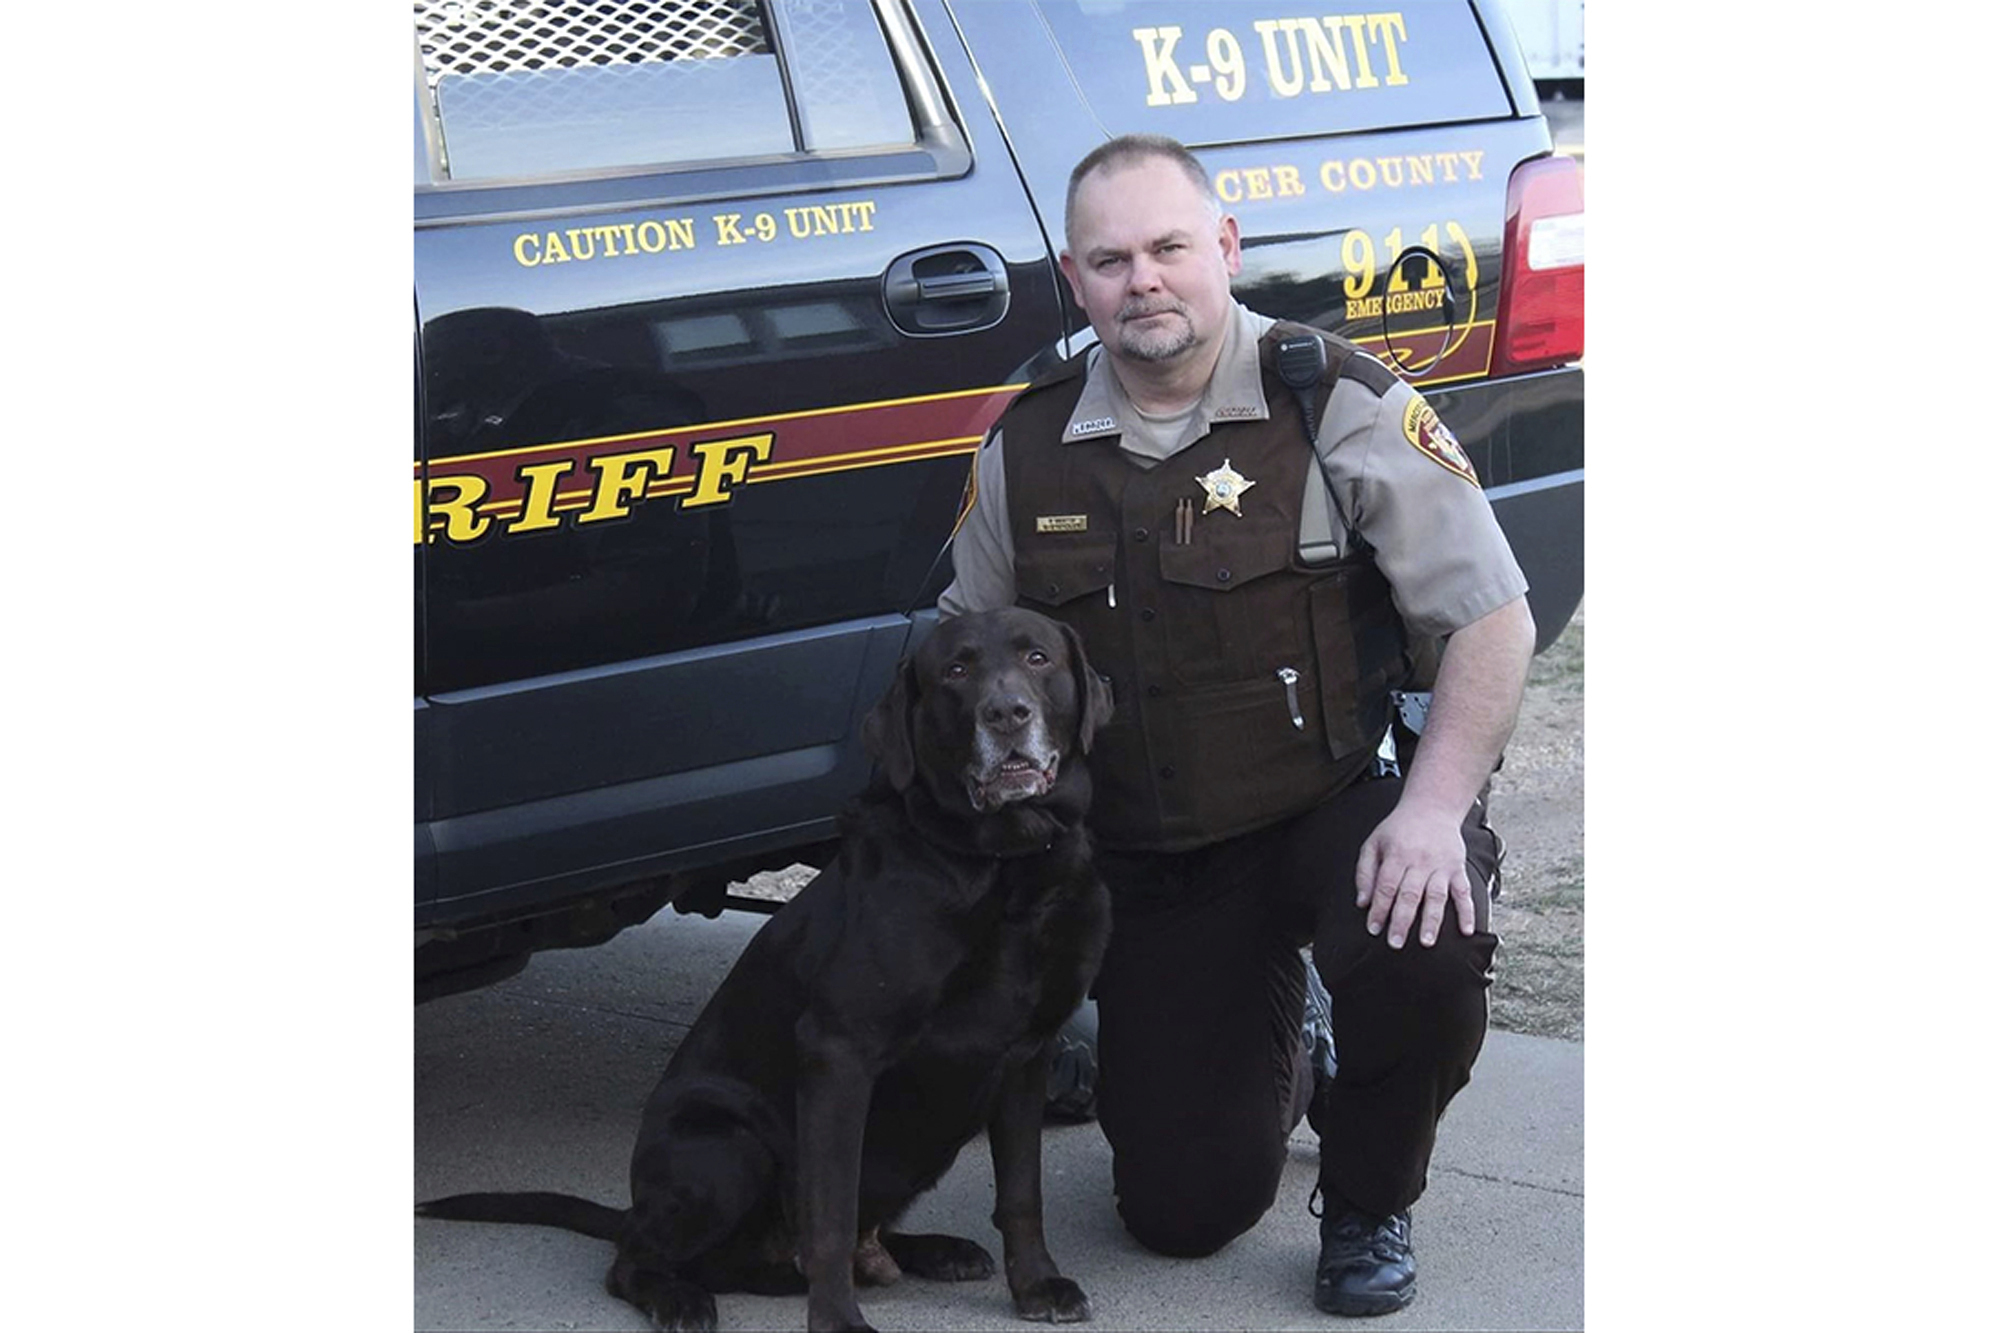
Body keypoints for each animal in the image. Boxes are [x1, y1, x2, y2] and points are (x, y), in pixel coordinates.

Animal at [420, 608, 1120, 1328]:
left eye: (1038, 657)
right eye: (955, 669)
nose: (1006, 713)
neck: (1004, 866)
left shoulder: (1026, 1054)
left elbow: (1022, 1190)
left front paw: (1036, 1284)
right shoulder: (840, 1051)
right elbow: (829, 1212)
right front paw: (837, 1320)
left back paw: (932, 1249)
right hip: (728, 1146)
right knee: (638, 1260)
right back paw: (680, 1295)